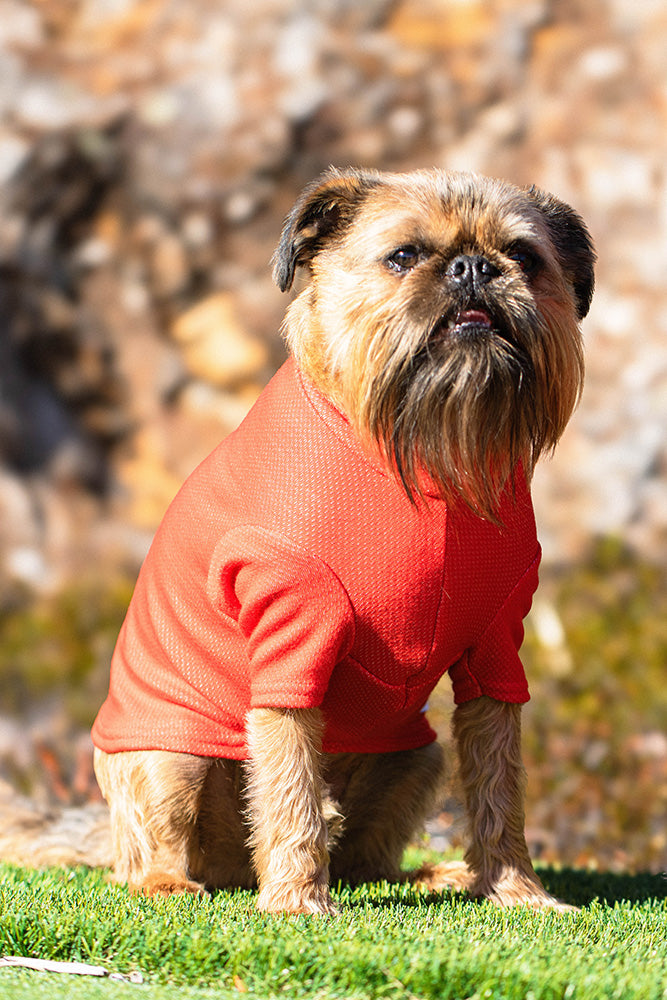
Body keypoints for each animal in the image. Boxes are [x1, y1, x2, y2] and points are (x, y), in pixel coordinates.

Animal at [90, 170, 596, 916]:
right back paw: (174, 883)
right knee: (145, 859)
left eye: (524, 258)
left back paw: (429, 877)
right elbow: (292, 785)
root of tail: (232, 872)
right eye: (404, 256)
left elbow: (499, 785)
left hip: (418, 755)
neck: (425, 458)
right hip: (169, 753)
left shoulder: (496, 648)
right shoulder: (291, 636)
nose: (473, 267)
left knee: (367, 859)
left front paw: (517, 892)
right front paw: (299, 901)